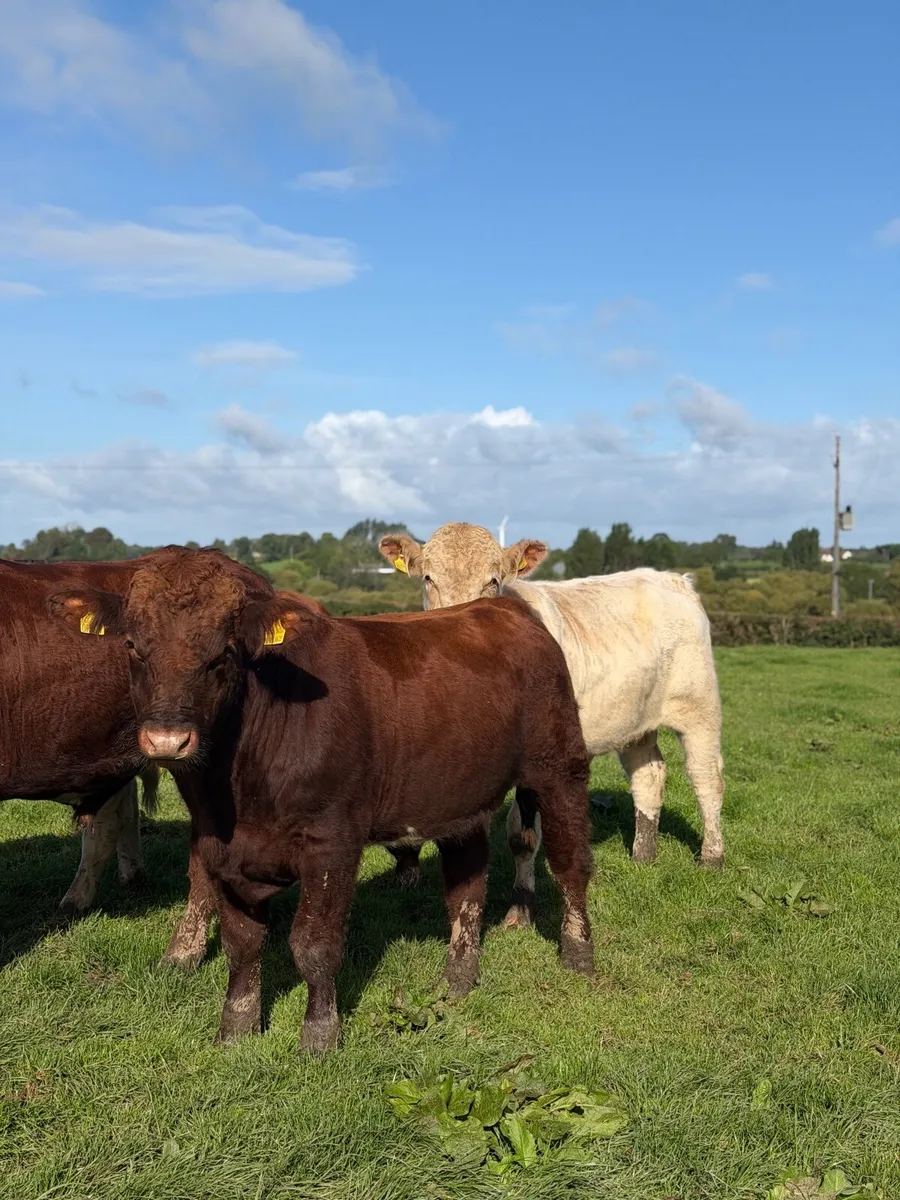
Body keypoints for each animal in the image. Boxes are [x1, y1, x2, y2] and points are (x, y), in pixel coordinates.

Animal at [49, 546, 595, 1054]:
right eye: (132, 646)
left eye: (224, 652)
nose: (167, 740)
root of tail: (501, 608)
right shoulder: (220, 846)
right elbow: (241, 943)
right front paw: (237, 1026)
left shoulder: (332, 843)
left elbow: (314, 944)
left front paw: (319, 1034)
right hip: (460, 798)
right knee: (466, 885)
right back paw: (457, 980)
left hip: (559, 769)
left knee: (570, 863)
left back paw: (578, 953)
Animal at [379, 523, 725, 920]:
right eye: (428, 578)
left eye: (493, 581)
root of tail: (671, 578)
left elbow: (522, 836)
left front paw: (520, 909)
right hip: (636, 721)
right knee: (649, 775)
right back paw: (643, 855)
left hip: (699, 708)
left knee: (706, 779)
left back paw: (712, 858)